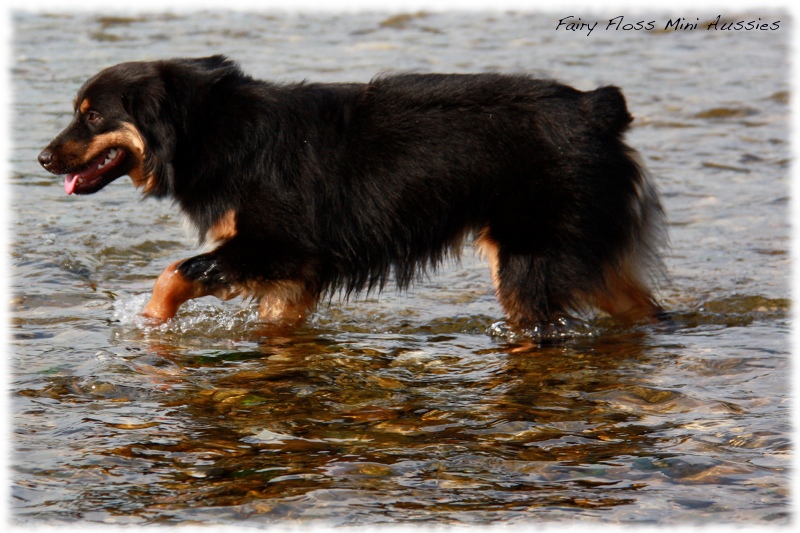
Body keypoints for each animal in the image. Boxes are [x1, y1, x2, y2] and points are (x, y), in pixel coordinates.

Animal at [37, 55, 668, 328]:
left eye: (91, 117)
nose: (41, 158)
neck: (206, 128)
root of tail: (596, 108)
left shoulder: (277, 245)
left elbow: (173, 272)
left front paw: (149, 325)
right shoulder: (290, 275)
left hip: (527, 260)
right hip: (580, 253)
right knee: (645, 308)